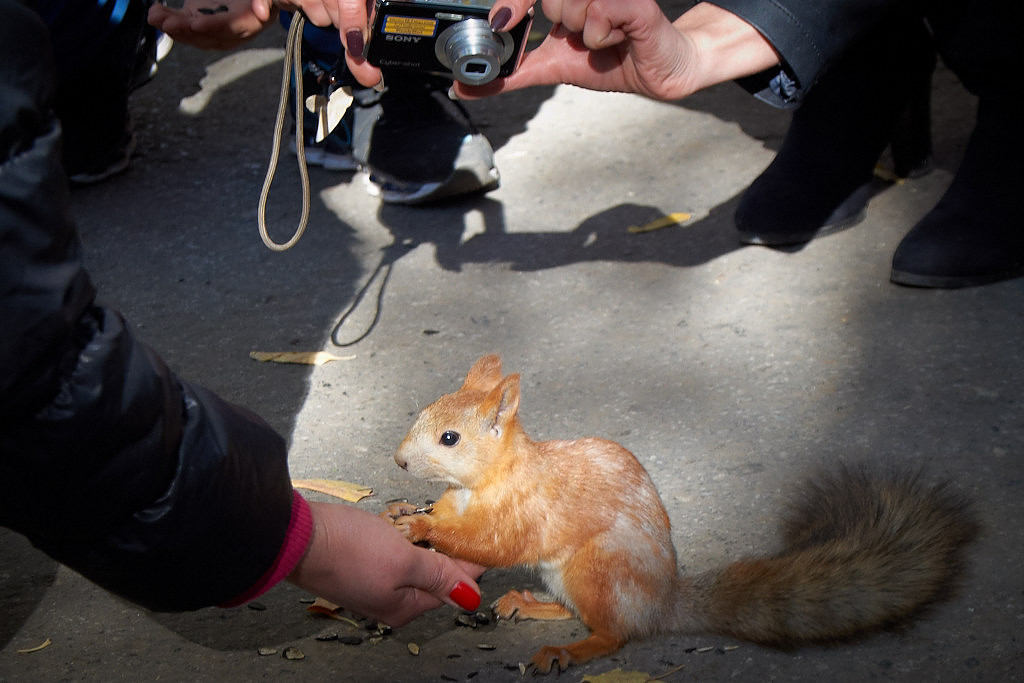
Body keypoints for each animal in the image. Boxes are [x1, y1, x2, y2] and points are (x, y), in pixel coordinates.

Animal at [382, 356, 974, 675]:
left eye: (450, 438)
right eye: (422, 412)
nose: (400, 461)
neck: (476, 487)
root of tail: (662, 603)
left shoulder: (527, 511)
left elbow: (492, 544)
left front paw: (422, 527)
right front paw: (403, 508)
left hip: (598, 568)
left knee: (613, 633)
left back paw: (566, 651)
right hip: (571, 578)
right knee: (577, 611)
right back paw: (529, 604)